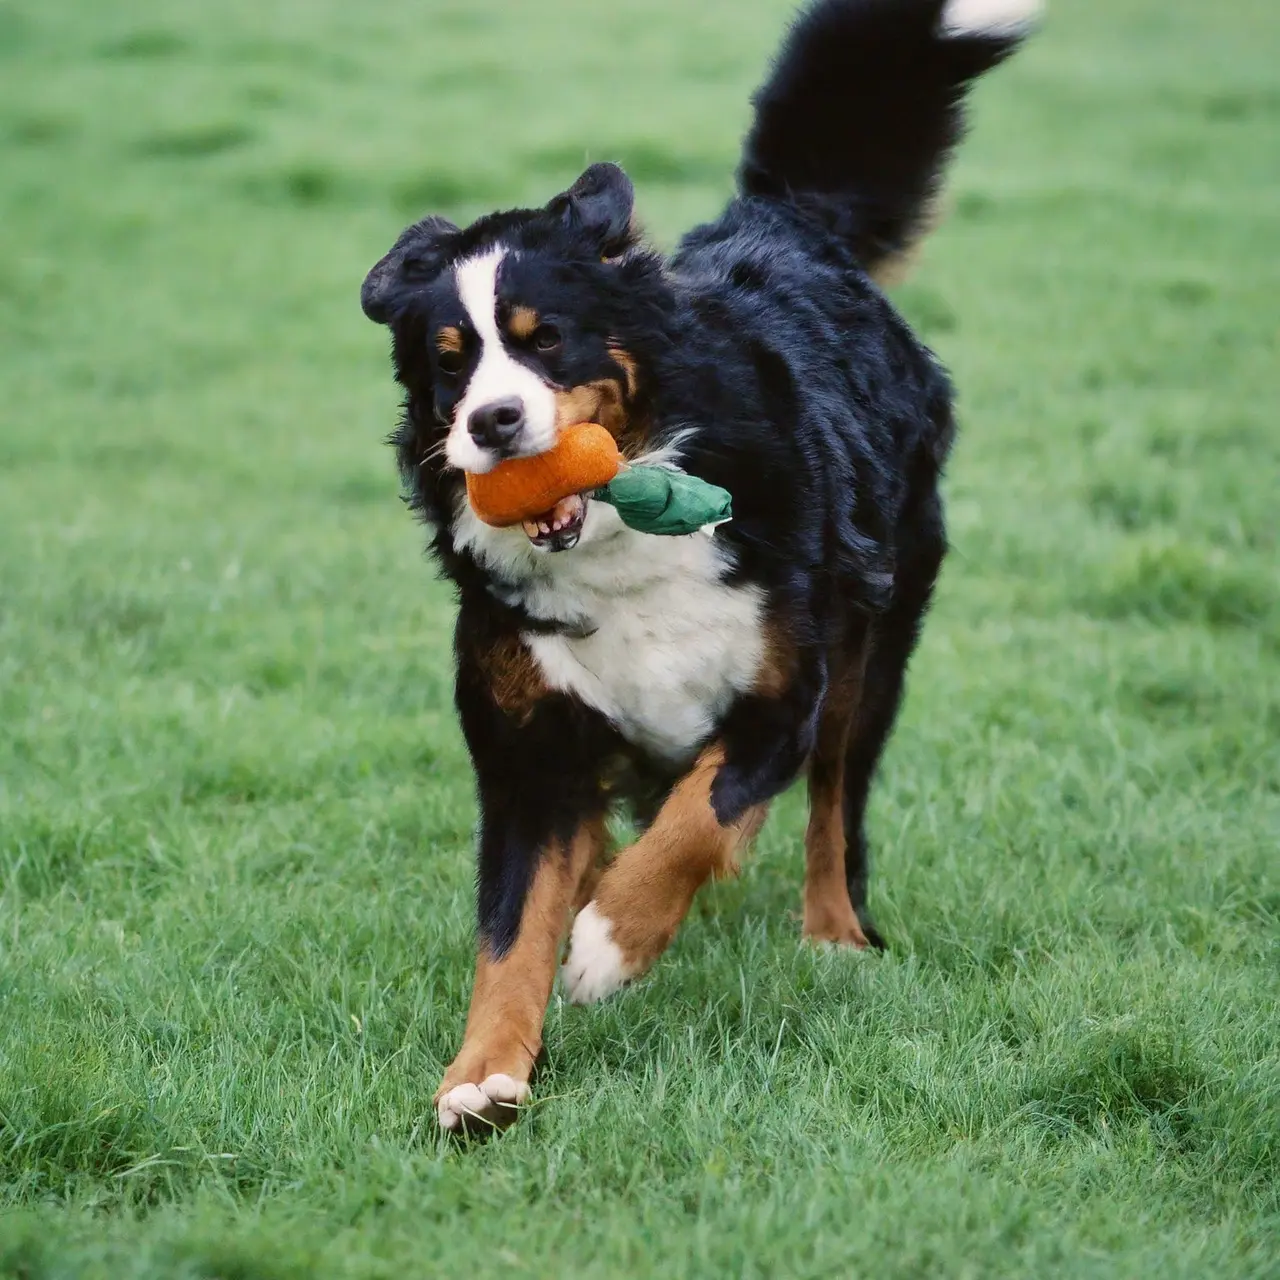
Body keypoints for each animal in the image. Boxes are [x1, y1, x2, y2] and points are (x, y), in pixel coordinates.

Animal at [360, 0, 1039, 1136]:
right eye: (449, 362)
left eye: (546, 340)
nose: (492, 424)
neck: (619, 543)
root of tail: (785, 224)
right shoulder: (529, 750)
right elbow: (511, 928)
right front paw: (483, 1072)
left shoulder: (780, 693)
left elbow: (696, 820)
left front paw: (606, 943)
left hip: (872, 652)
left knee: (830, 809)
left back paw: (832, 934)